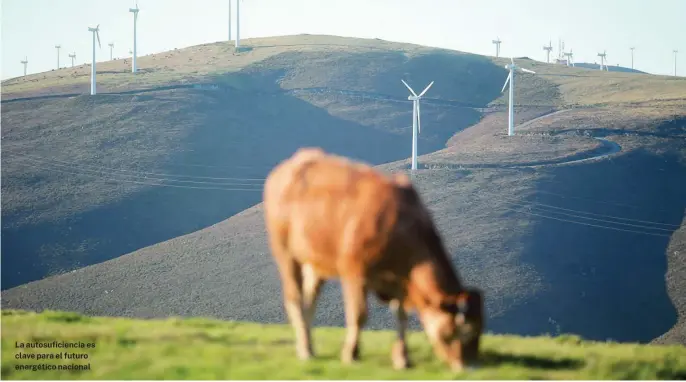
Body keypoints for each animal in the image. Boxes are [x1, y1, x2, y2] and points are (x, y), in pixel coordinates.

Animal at [264, 148, 484, 372]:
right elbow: (359, 314)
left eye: (480, 329)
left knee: (310, 300)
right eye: (466, 331)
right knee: (295, 298)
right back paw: (305, 350)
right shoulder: (355, 272)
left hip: (316, 262)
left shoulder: (400, 281)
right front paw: (351, 354)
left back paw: (309, 345)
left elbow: (401, 316)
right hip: (285, 253)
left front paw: (402, 358)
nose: (470, 367)